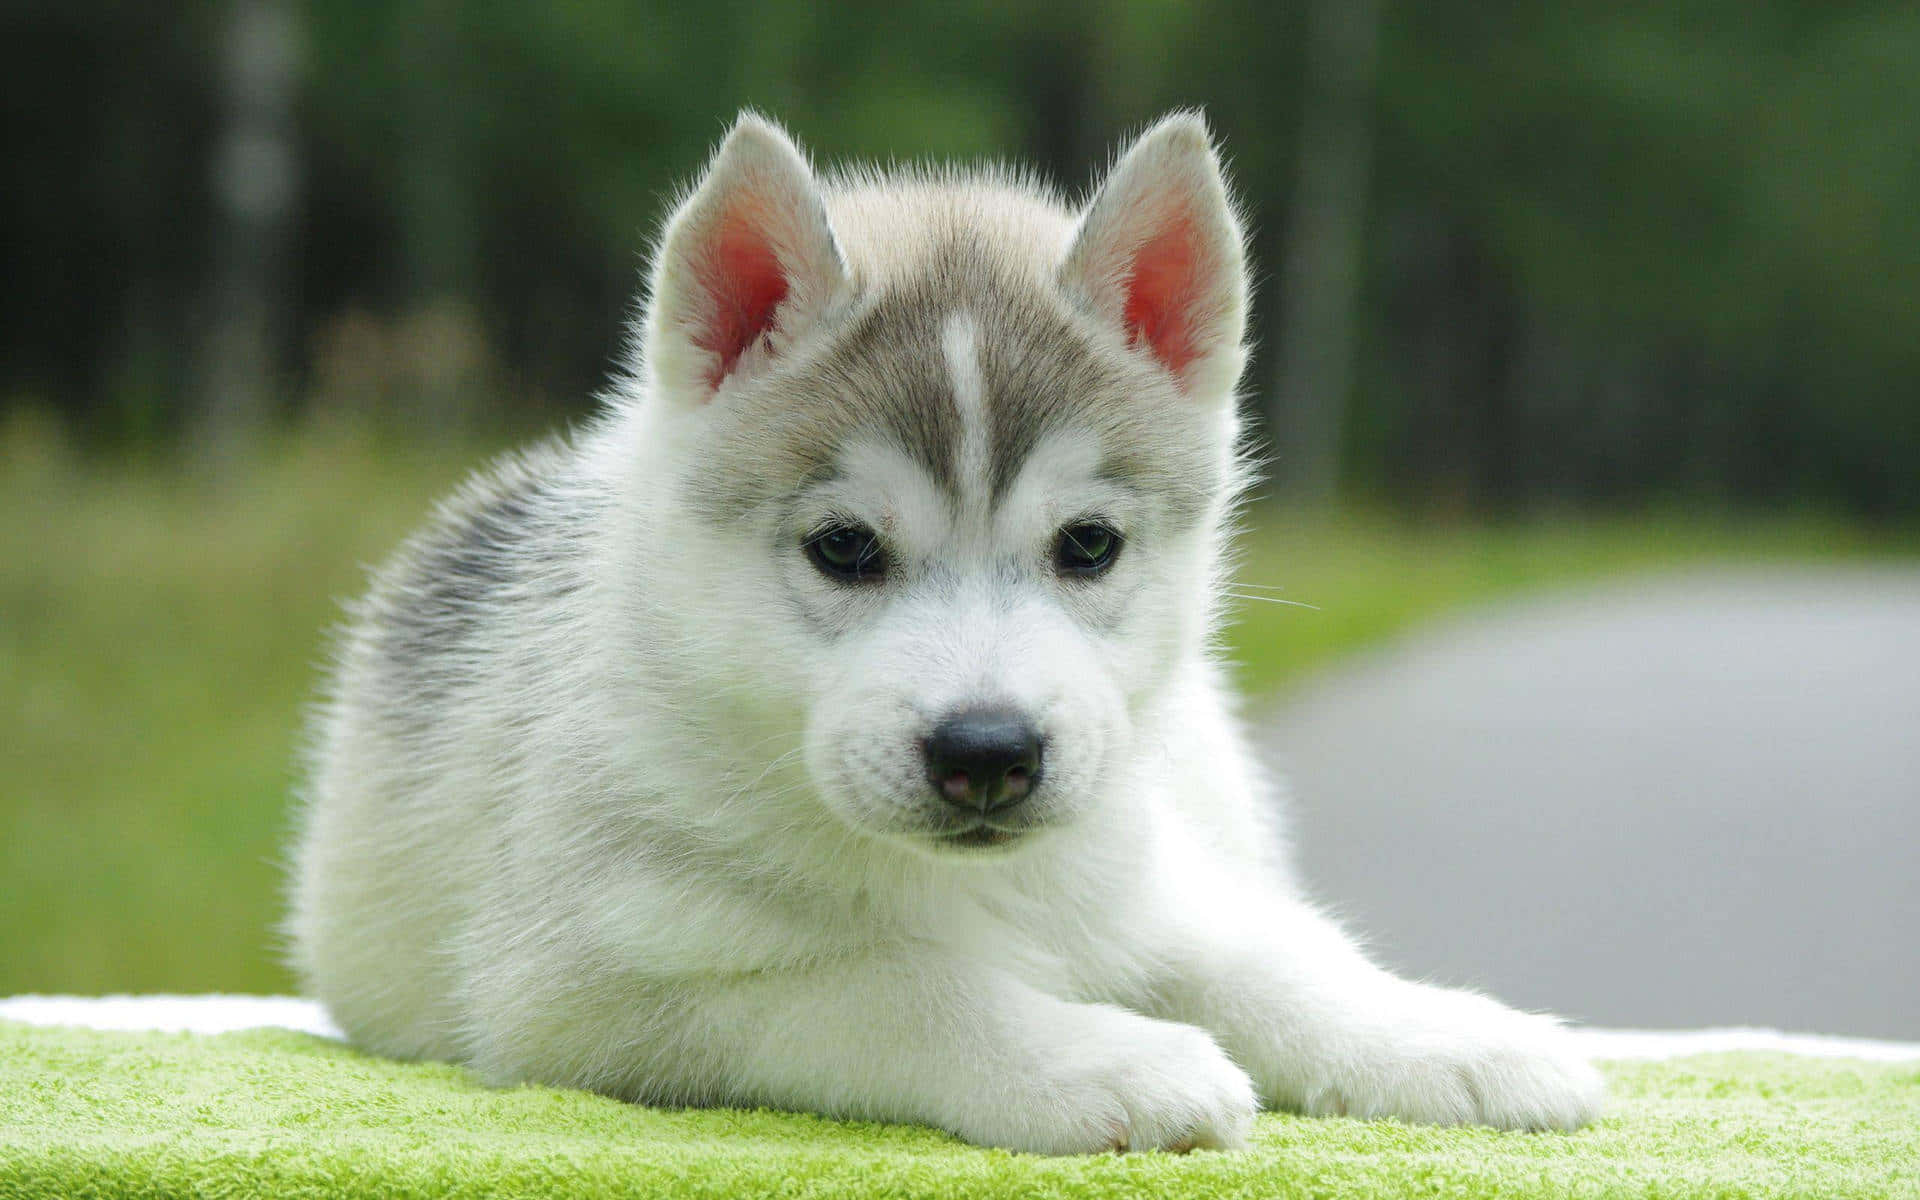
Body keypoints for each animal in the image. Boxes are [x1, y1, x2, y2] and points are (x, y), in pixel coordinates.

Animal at [288, 109, 1605, 1152]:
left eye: (1089, 545)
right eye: (844, 548)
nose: (988, 753)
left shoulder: (1137, 878)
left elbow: (1262, 956)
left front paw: (1445, 1035)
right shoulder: (584, 996)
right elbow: (889, 986)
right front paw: (1107, 1059)